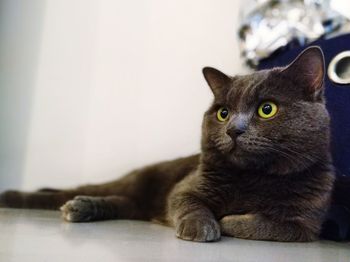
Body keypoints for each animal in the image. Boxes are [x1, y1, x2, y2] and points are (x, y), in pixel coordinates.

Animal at [0, 46, 336, 242]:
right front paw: (202, 226)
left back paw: (82, 208)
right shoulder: (185, 187)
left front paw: (228, 220)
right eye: (223, 112)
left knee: (122, 202)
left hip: (138, 201)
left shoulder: (306, 224)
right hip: (142, 182)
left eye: (267, 109)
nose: (233, 130)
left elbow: (271, 226)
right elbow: (188, 202)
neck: (254, 178)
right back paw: (28, 198)